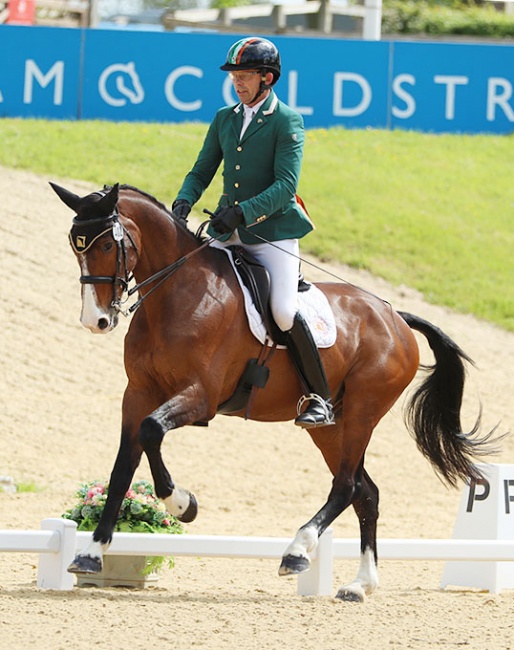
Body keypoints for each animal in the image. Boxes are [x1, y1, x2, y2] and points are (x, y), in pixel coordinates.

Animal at [52, 180, 496, 600]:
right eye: (75, 247)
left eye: (107, 244)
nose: (96, 320)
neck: (178, 294)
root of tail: (395, 317)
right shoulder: (138, 394)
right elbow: (123, 465)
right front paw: (91, 553)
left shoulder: (200, 396)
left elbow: (151, 431)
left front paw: (182, 504)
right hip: (331, 428)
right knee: (366, 492)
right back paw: (360, 585)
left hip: (362, 412)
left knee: (347, 485)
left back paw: (297, 551)